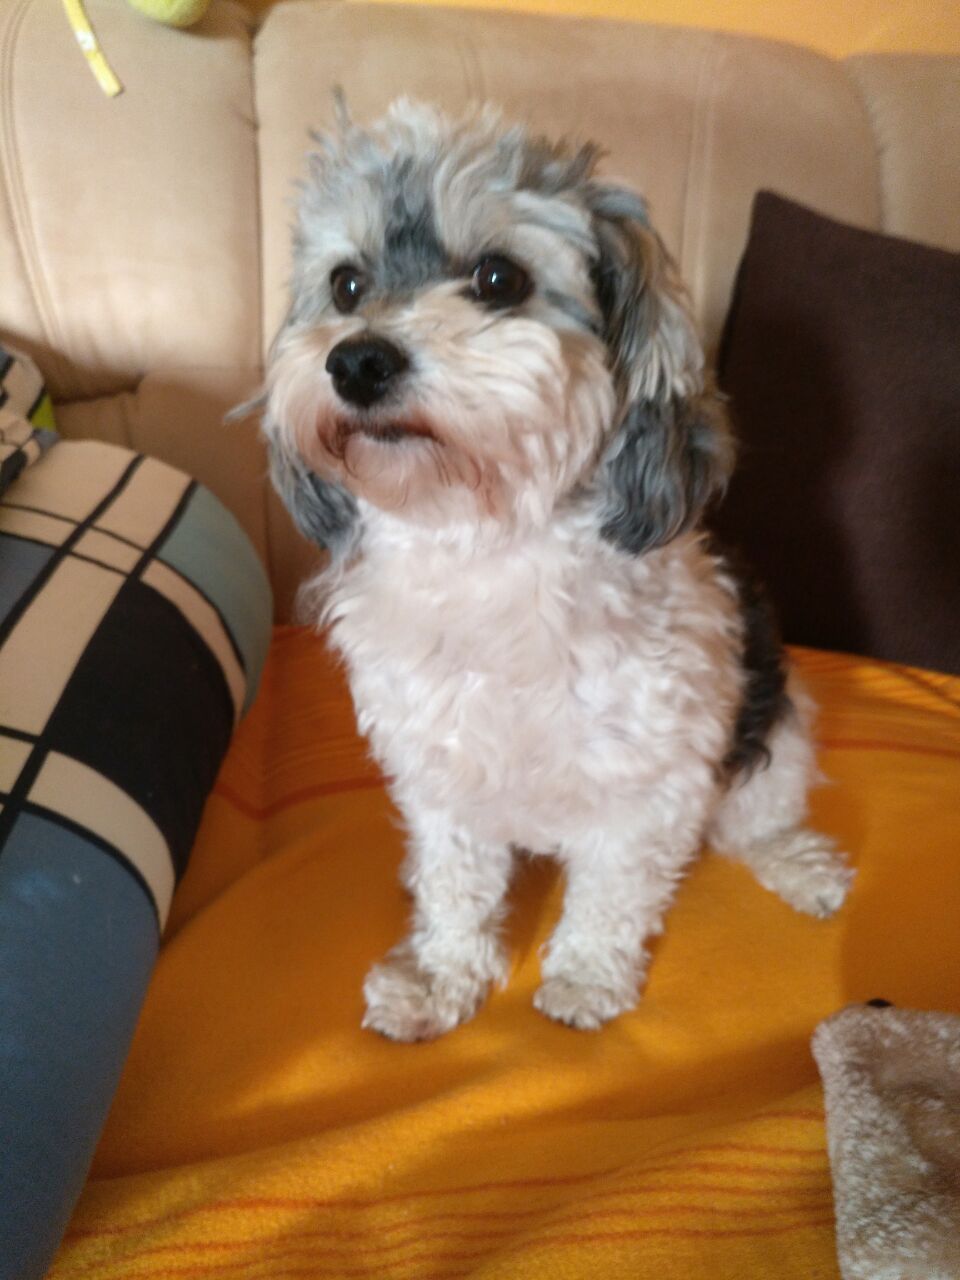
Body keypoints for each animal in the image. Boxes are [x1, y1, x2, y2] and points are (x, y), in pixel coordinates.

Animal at [259, 99, 853, 1040]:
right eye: (347, 286)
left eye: (499, 278)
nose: (354, 359)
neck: (487, 539)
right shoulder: (443, 774)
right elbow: (456, 887)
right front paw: (441, 976)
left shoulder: (647, 787)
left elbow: (610, 895)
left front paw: (584, 977)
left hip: (774, 727)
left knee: (754, 817)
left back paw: (797, 862)